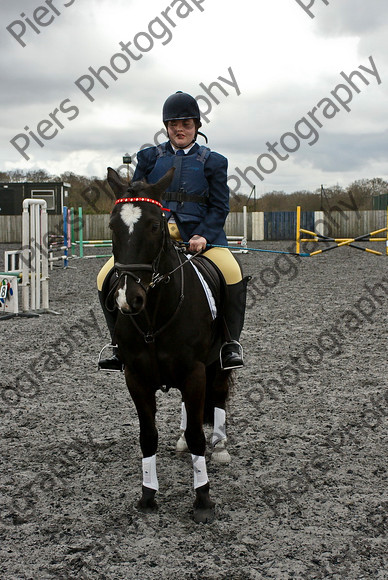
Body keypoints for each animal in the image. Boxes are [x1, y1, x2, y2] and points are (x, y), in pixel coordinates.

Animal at [105, 165, 233, 524]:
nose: (128, 299)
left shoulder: (194, 372)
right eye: (112, 226)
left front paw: (203, 500)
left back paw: (220, 447)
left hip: (216, 364)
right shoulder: (135, 377)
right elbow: (148, 436)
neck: (153, 315)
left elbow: (198, 435)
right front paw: (147, 496)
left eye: (154, 225)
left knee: (217, 395)